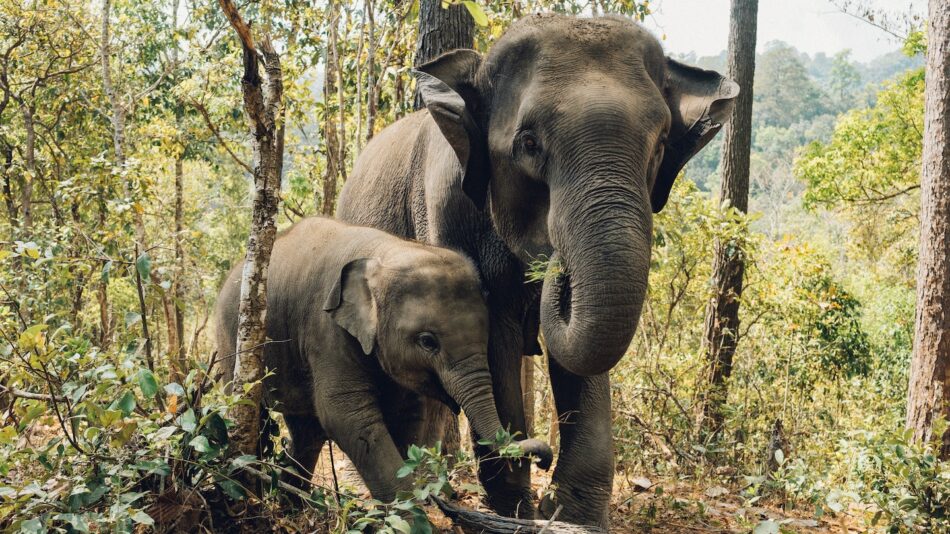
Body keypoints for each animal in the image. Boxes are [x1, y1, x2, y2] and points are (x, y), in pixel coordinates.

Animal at [215, 217, 556, 502]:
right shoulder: (326, 330)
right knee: (253, 412)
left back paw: (293, 504)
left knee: (306, 431)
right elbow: (347, 416)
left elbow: (408, 415)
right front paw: (411, 515)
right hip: (232, 342)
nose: (544, 459)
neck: (385, 251)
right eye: (428, 342)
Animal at [338, 13, 740, 532]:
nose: (554, 264)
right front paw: (518, 508)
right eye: (529, 144)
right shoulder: (446, 212)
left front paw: (572, 516)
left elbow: (582, 356)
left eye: (659, 147)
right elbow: (495, 338)